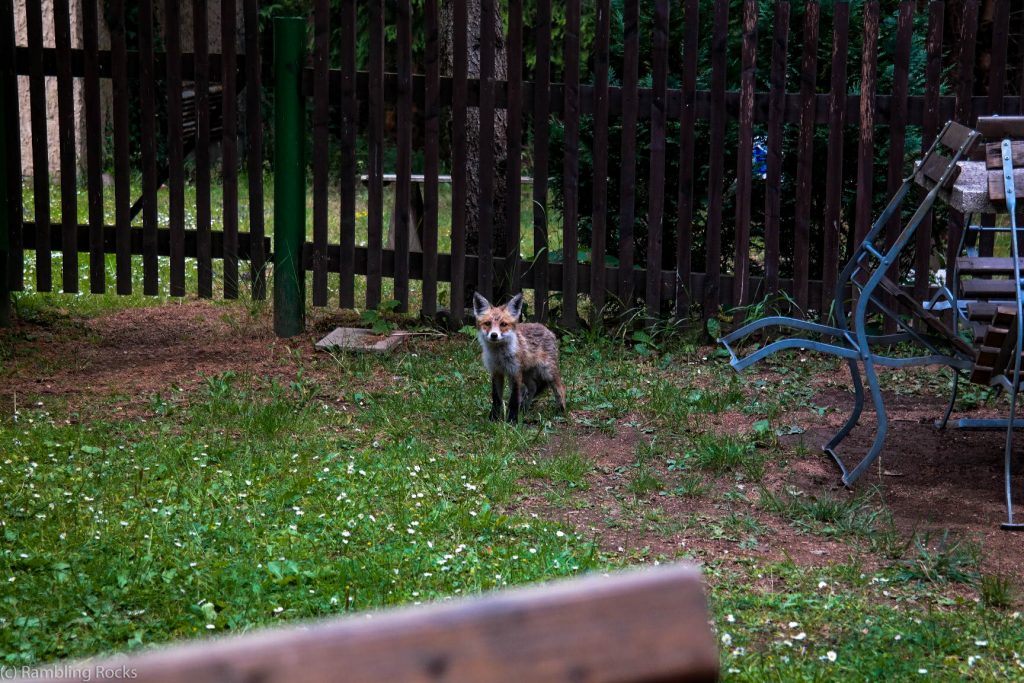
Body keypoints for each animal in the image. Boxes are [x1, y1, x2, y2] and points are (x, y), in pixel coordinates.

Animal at [471, 292, 569, 421]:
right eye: (487, 323)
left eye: (503, 324)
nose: (494, 335)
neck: (499, 356)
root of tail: (547, 329)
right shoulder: (496, 372)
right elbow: (496, 398)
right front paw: (494, 418)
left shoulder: (515, 372)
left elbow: (513, 399)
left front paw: (512, 420)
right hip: (527, 373)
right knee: (533, 387)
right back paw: (523, 409)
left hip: (547, 372)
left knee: (561, 387)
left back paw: (561, 410)